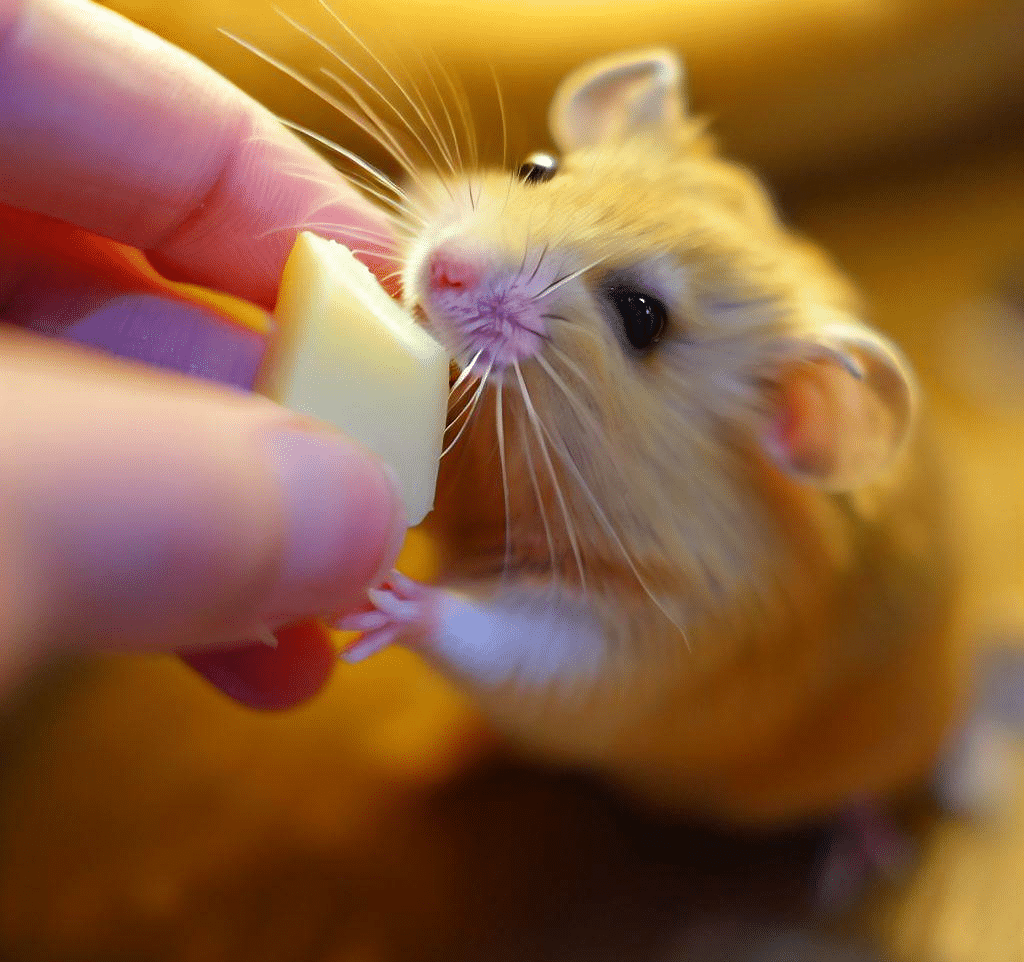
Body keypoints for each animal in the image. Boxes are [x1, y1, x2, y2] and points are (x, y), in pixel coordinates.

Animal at [337, 47, 966, 827]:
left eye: (642, 317)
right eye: (535, 170)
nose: (442, 270)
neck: (511, 439)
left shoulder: (661, 633)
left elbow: (521, 642)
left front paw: (390, 602)